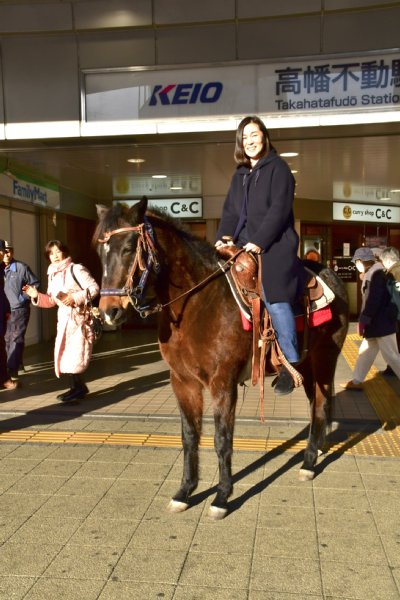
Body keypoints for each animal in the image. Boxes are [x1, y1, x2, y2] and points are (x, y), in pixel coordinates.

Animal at [94, 200, 346, 520]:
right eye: (100, 251)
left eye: (129, 247)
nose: (109, 312)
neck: (196, 304)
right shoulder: (182, 382)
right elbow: (190, 436)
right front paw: (185, 491)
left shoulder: (222, 382)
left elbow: (222, 440)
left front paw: (222, 496)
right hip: (307, 363)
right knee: (316, 405)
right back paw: (316, 449)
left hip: (325, 358)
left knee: (322, 403)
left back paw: (309, 463)